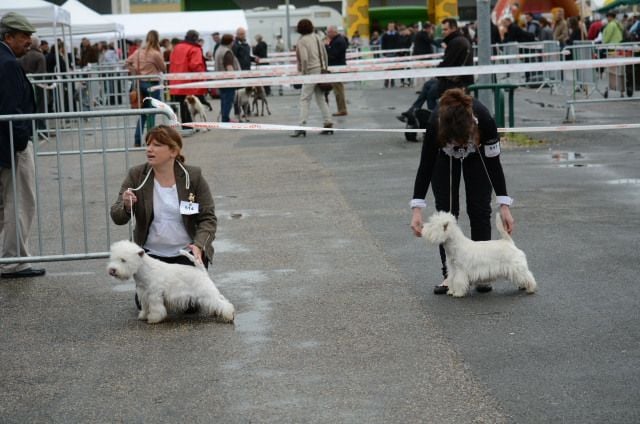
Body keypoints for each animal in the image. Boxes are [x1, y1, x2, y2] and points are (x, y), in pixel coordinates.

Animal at [107, 240, 235, 322]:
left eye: (123, 260)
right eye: (113, 258)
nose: (112, 270)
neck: (144, 270)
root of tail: (201, 270)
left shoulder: (154, 295)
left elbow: (155, 308)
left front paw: (154, 318)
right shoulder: (143, 294)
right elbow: (145, 306)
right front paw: (143, 315)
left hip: (206, 292)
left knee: (222, 303)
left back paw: (229, 315)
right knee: (221, 299)